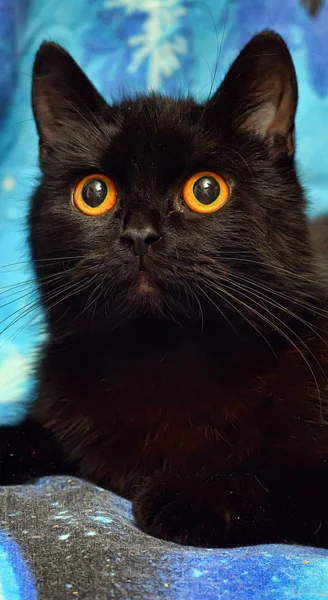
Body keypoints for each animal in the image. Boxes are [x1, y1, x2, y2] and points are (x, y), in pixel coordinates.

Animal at [0, 31, 328, 548]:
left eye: (207, 190)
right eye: (94, 193)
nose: (140, 234)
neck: (159, 355)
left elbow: (291, 479)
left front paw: (190, 494)